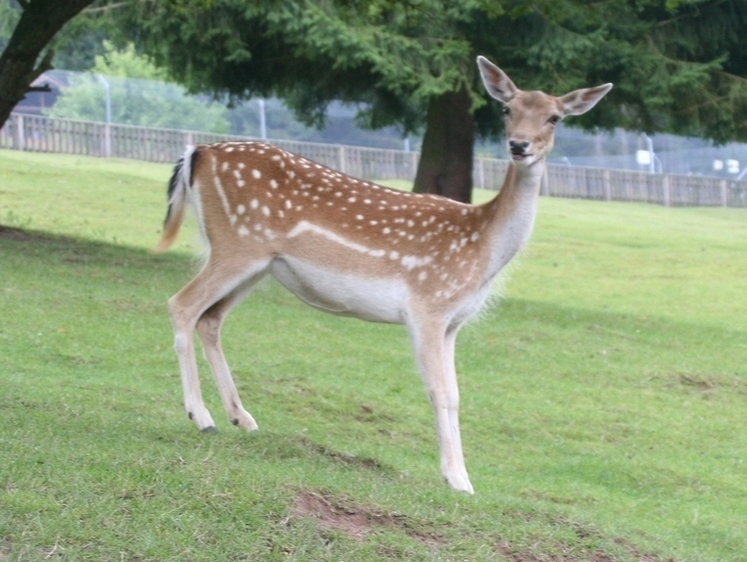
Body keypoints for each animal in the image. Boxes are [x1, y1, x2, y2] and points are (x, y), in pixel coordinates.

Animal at [153, 57, 612, 492]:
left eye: (555, 117)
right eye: (506, 109)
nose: (519, 145)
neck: (482, 246)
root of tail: (198, 153)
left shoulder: (453, 323)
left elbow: (456, 395)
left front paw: (462, 477)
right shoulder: (427, 306)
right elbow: (439, 392)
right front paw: (457, 480)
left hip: (256, 262)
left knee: (210, 319)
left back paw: (242, 417)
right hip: (237, 245)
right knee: (181, 304)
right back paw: (201, 415)